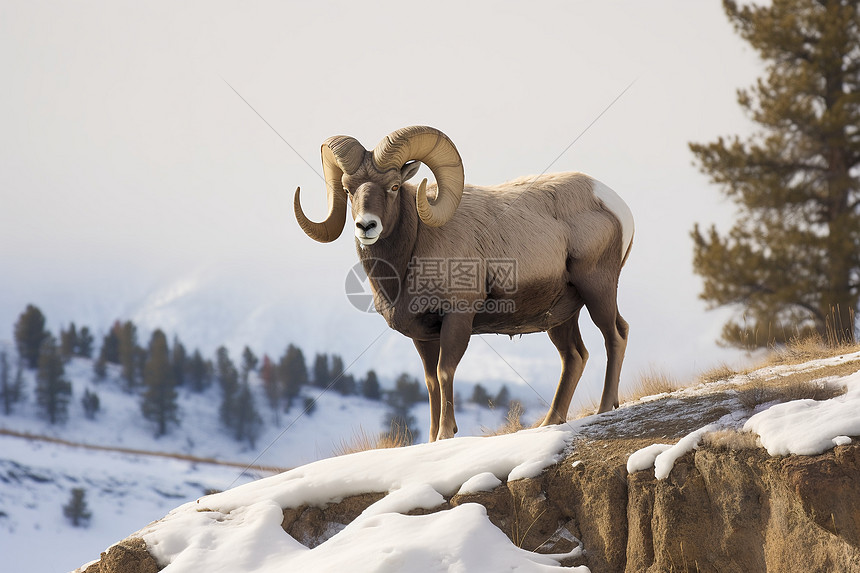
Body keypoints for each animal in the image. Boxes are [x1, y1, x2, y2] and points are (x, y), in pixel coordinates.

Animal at [296, 126, 632, 442]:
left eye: (393, 186)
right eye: (348, 189)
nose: (366, 226)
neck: (415, 246)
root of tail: (610, 201)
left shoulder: (457, 318)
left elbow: (446, 372)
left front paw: (446, 434)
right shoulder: (424, 335)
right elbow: (431, 381)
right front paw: (432, 439)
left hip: (597, 288)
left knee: (615, 334)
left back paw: (605, 408)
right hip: (559, 315)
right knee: (573, 357)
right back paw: (549, 423)